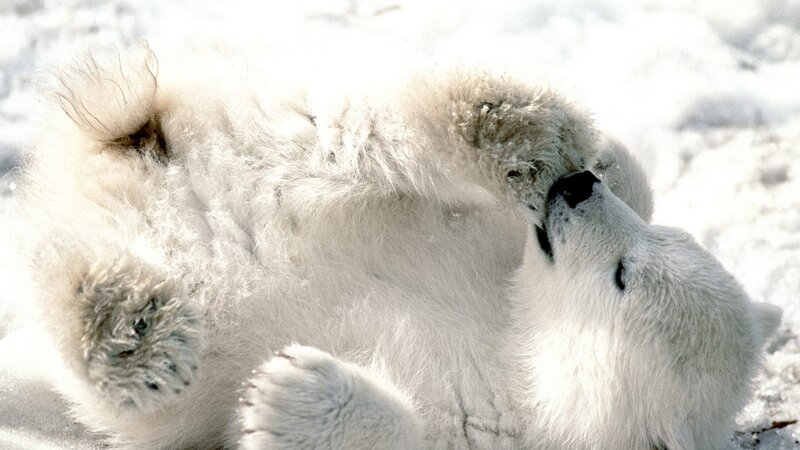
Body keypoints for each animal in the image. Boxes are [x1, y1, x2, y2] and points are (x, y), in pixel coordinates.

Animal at [16, 43, 781, 449]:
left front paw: (288, 394)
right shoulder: (491, 253)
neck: (514, 346)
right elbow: (623, 183)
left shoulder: (487, 427)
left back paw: (130, 329)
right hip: (273, 144)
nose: (574, 189)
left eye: (624, 275)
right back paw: (511, 128)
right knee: (359, 133)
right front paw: (594, 158)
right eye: (657, 241)